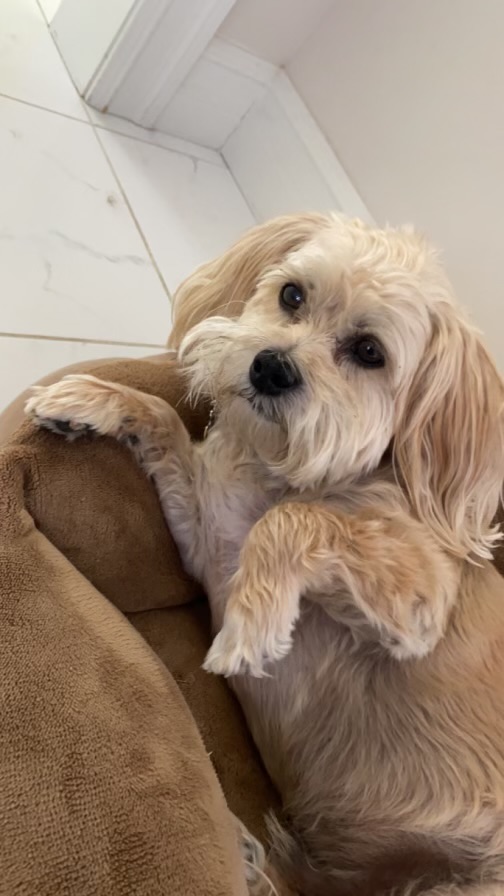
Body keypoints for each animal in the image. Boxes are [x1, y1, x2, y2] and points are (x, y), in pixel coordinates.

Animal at [26, 212, 504, 896]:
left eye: (370, 352)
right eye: (292, 295)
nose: (270, 368)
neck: (286, 472)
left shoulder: (416, 605)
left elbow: (294, 521)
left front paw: (251, 629)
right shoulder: (212, 544)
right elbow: (163, 416)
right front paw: (90, 400)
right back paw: (253, 858)